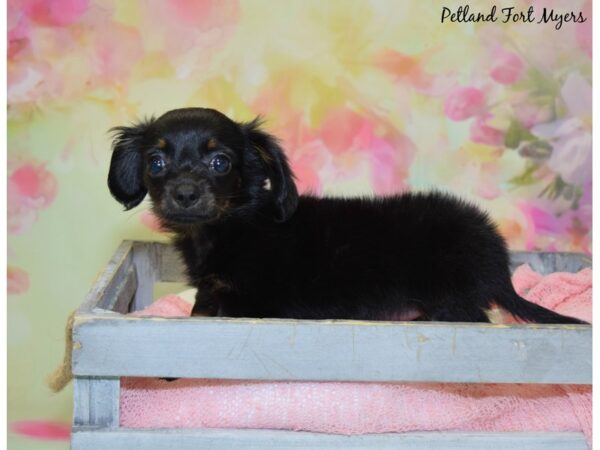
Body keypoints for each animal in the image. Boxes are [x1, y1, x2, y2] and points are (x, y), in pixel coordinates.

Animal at [109, 106, 584, 324]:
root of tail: (499, 265)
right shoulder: (215, 289)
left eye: (220, 162)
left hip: (448, 296)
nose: (184, 194)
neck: (231, 228)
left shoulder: (250, 301)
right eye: (156, 162)